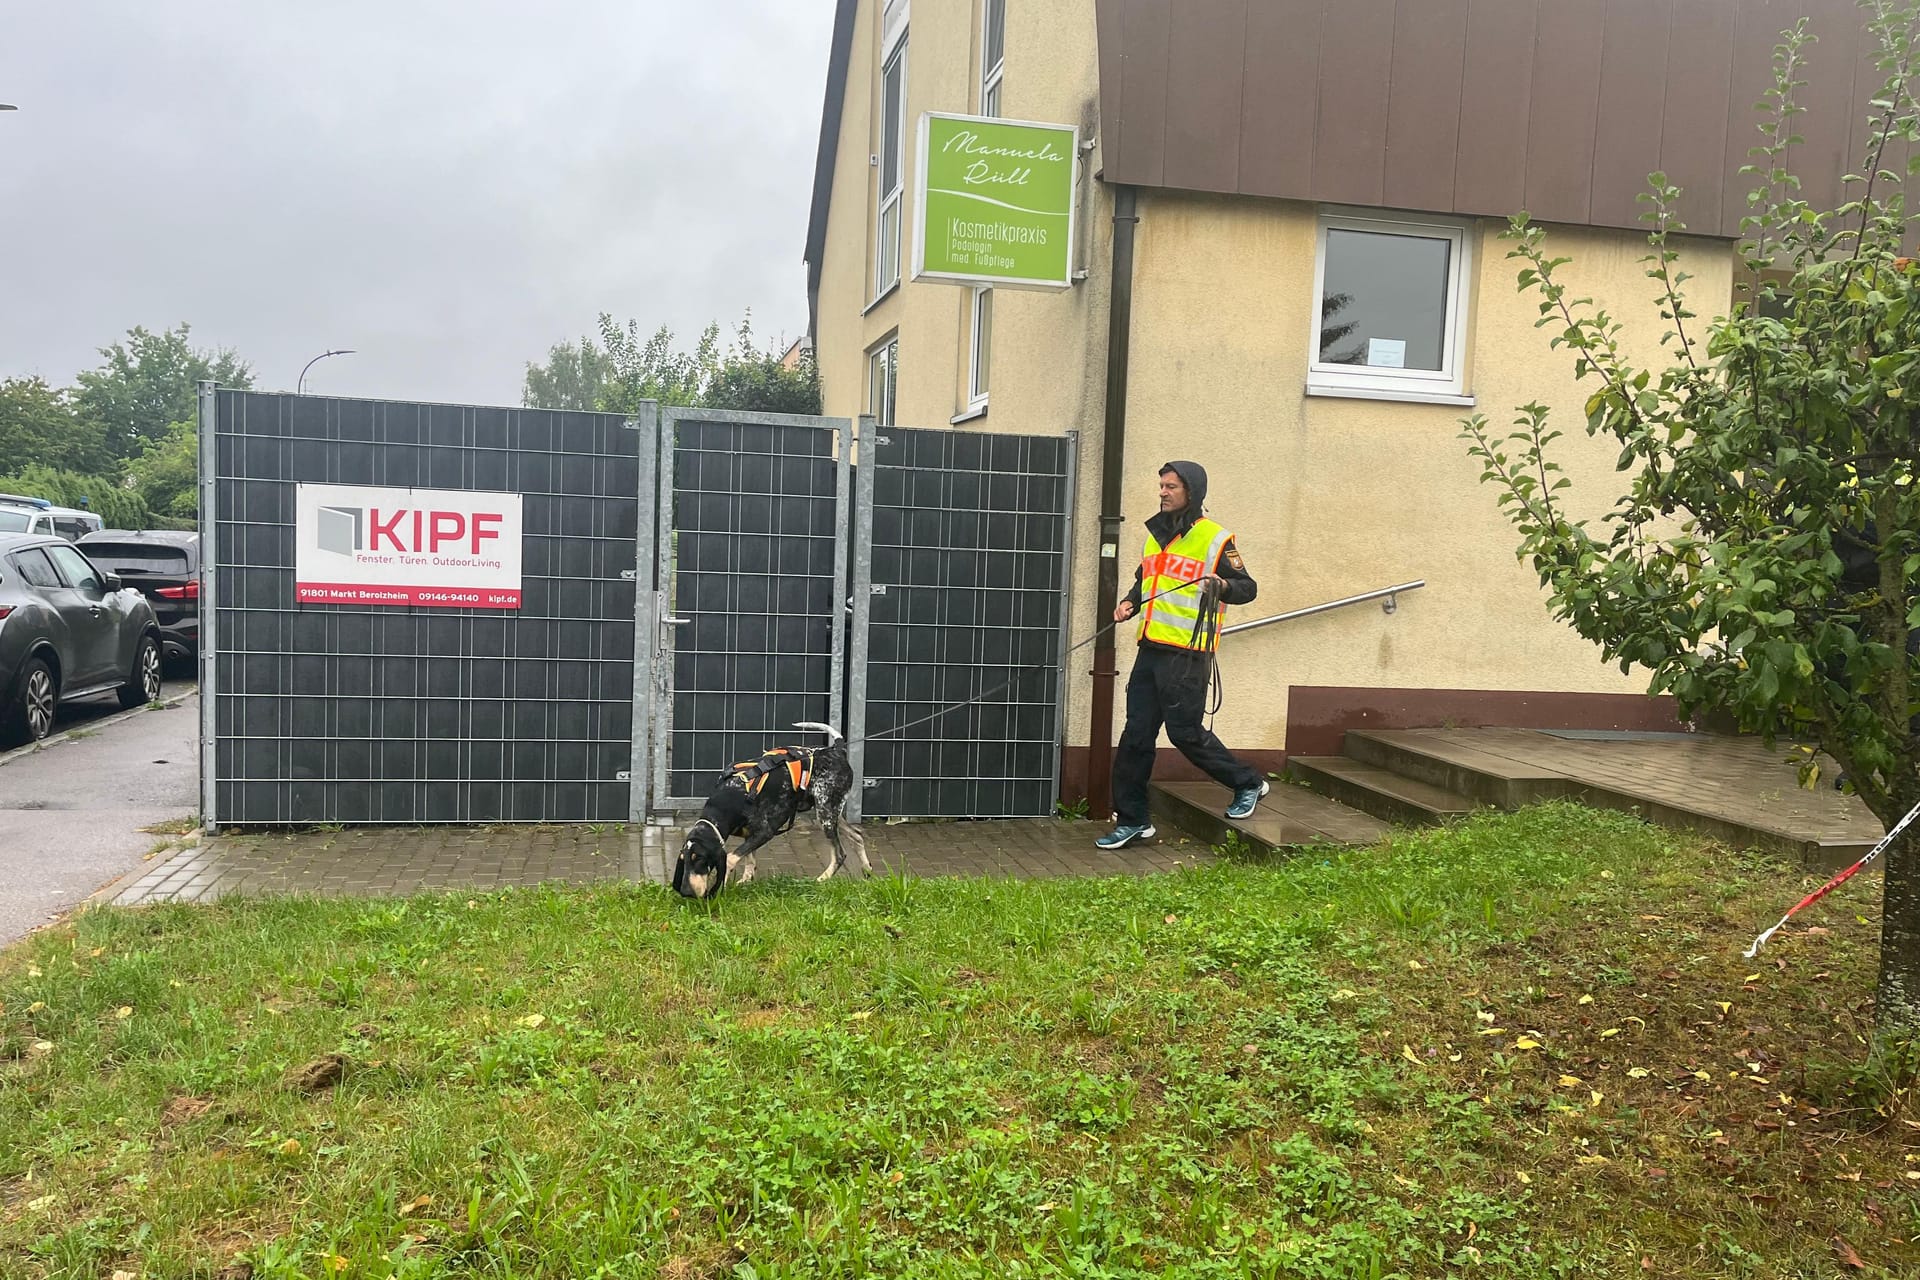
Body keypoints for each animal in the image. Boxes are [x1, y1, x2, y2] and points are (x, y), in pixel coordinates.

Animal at [664, 721, 867, 901]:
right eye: (684, 860)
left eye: (699, 859)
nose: (685, 892)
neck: (728, 799)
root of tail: (837, 750)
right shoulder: (750, 834)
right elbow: (749, 860)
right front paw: (746, 880)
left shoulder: (764, 832)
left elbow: (731, 858)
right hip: (828, 813)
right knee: (857, 835)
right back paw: (867, 871)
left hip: (826, 815)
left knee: (840, 854)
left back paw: (822, 879)